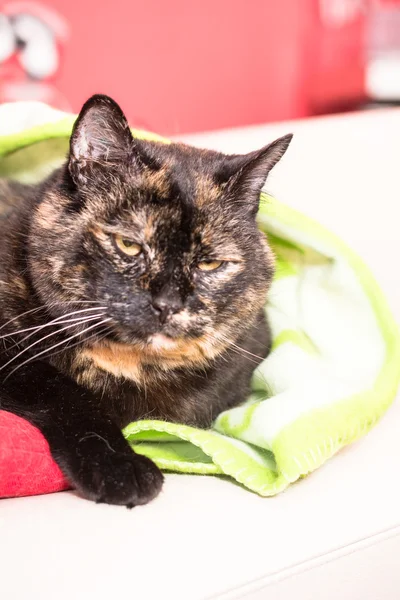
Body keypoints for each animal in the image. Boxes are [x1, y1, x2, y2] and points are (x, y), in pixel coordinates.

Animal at [0, 95, 290, 506]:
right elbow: (67, 394)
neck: (130, 364)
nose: (168, 304)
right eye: (129, 244)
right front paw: (121, 469)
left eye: (210, 263)